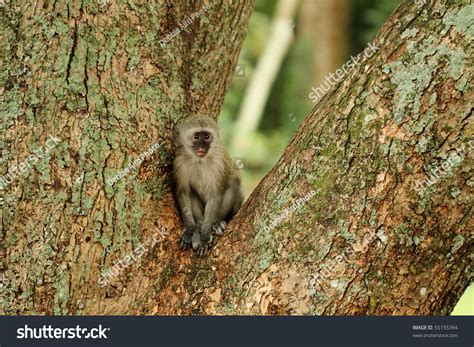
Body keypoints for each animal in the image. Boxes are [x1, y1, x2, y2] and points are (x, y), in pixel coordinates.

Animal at [172, 116, 243, 256]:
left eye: (206, 137)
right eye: (196, 137)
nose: (202, 147)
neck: (200, 160)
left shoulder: (219, 164)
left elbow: (215, 196)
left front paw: (205, 236)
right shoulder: (179, 162)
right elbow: (183, 192)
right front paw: (190, 229)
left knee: (235, 185)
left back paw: (216, 223)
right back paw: (198, 226)